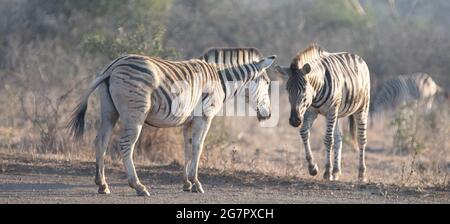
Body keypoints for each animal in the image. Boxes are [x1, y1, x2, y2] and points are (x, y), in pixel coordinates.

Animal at [68, 48, 276, 195]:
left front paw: (186, 183)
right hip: (135, 114)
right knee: (126, 144)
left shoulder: (187, 121)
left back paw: (102, 184)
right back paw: (138, 186)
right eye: (267, 83)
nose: (268, 115)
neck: (220, 80)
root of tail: (113, 66)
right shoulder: (204, 117)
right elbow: (198, 147)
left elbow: (187, 148)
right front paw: (196, 183)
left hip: (109, 111)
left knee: (101, 141)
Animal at [276, 44, 370, 182]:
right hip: (338, 113)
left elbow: (328, 139)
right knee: (339, 137)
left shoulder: (330, 110)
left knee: (361, 139)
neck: (316, 90)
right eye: (287, 89)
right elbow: (304, 132)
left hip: (361, 108)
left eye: (304, 89)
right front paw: (313, 167)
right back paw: (336, 172)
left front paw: (327, 172)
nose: (294, 121)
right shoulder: (310, 111)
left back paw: (361, 174)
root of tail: (357, 56)